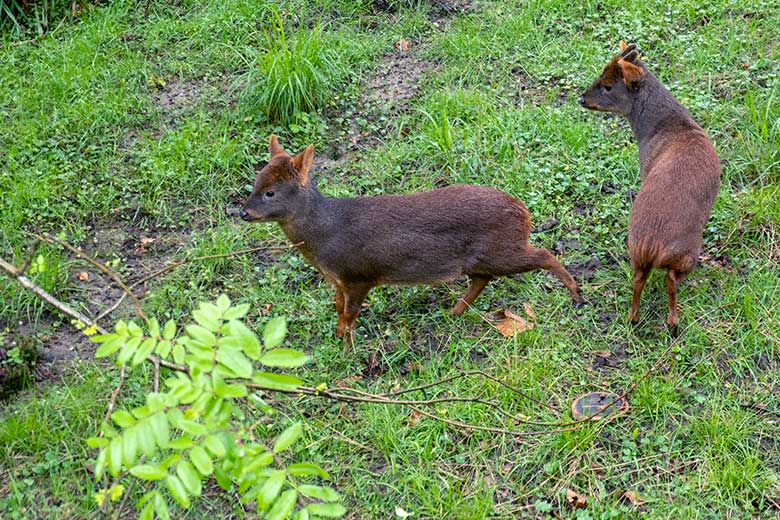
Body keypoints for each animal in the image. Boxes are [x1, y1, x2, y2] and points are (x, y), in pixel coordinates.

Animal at [241, 136, 580, 344]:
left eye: (270, 192)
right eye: (255, 182)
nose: (244, 212)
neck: (325, 235)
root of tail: (524, 211)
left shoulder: (359, 275)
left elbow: (350, 314)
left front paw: (347, 347)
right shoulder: (338, 279)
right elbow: (338, 308)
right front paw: (338, 337)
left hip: (503, 249)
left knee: (543, 254)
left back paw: (576, 293)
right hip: (484, 257)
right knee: (482, 278)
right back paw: (452, 312)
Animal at [580, 41, 720, 334]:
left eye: (607, 85)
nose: (582, 99)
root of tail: (651, 245)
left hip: (635, 251)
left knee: (638, 278)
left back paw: (633, 318)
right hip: (686, 253)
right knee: (670, 280)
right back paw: (673, 323)